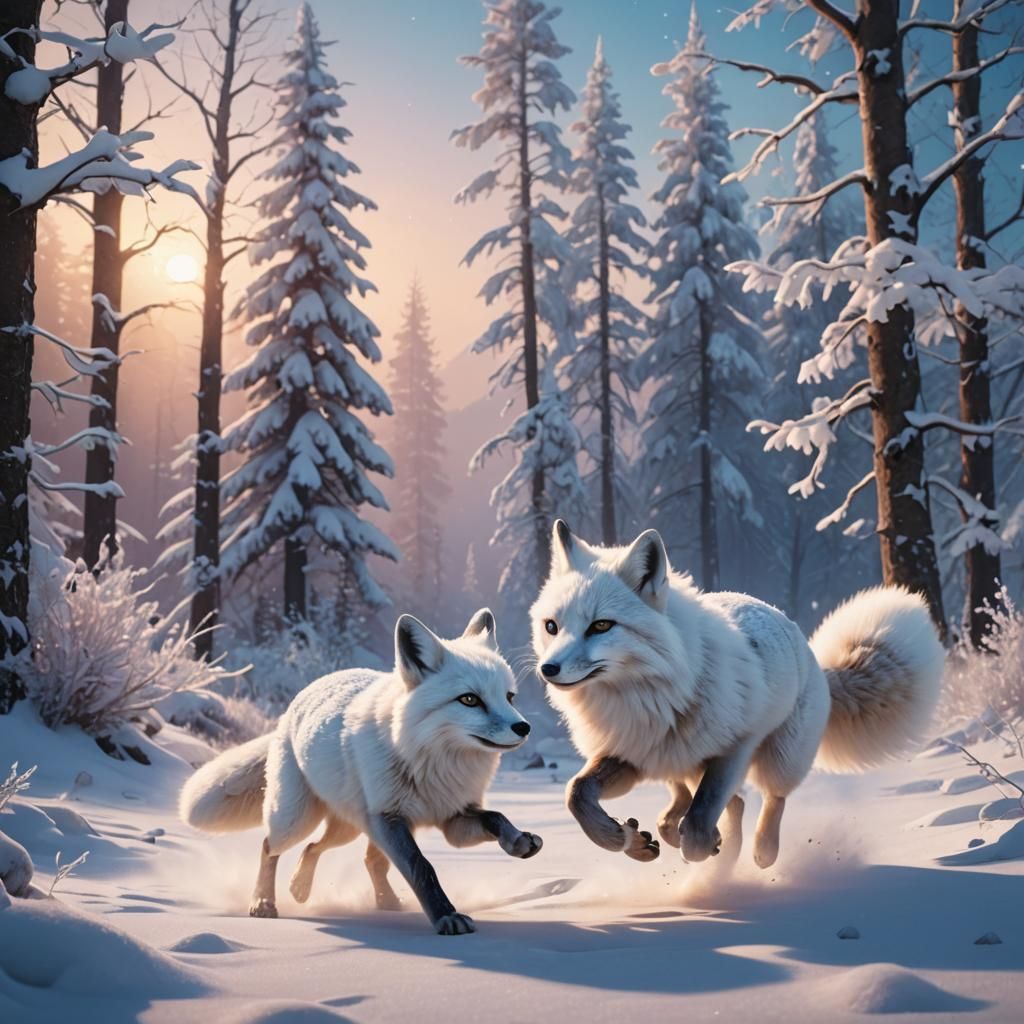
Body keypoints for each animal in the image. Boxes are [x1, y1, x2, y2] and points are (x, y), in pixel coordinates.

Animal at [180, 609, 542, 935]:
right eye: (469, 700)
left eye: (509, 697)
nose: (524, 727)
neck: (431, 761)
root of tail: (294, 704)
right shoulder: (389, 818)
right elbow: (422, 868)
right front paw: (446, 917)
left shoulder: (452, 817)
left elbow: (495, 817)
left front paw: (518, 841)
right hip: (301, 820)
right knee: (271, 846)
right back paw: (264, 903)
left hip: (352, 828)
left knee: (336, 853)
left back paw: (326, 892)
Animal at [530, 520, 944, 869]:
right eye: (552, 626)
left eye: (601, 626)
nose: (547, 670)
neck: (650, 696)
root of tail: (807, 648)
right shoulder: (629, 755)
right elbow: (576, 793)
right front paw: (621, 838)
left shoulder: (735, 748)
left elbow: (699, 825)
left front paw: (699, 846)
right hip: (676, 764)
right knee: (708, 801)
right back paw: (661, 835)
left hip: (778, 759)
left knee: (766, 799)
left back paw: (761, 851)